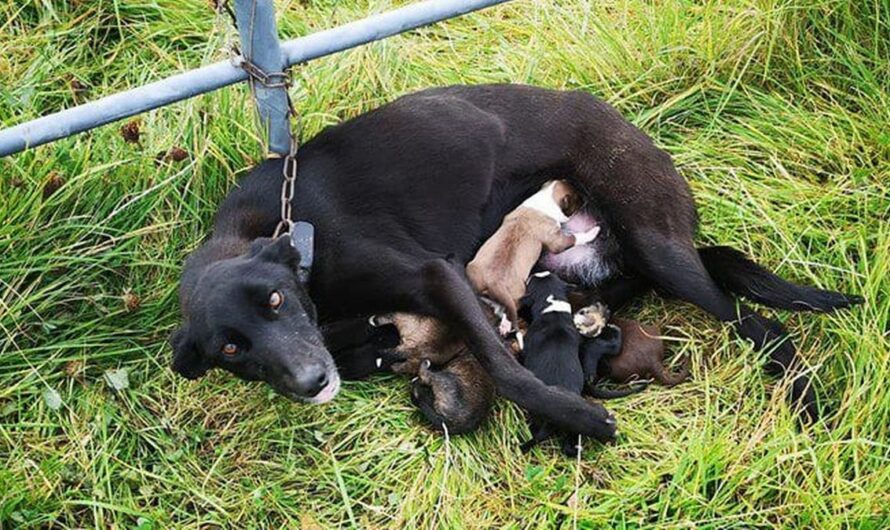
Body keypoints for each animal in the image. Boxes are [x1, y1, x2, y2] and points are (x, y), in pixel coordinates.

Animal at [464, 179, 596, 332]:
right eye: (577, 199)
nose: (585, 199)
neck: (544, 200)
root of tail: (493, 282)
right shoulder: (557, 242)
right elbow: (575, 238)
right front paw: (594, 232)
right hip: (519, 293)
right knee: (510, 309)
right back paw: (506, 325)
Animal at [516, 272, 592, 454]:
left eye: (529, 282)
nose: (533, 272)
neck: (553, 308)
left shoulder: (526, 349)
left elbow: (522, 344)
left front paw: (517, 334)